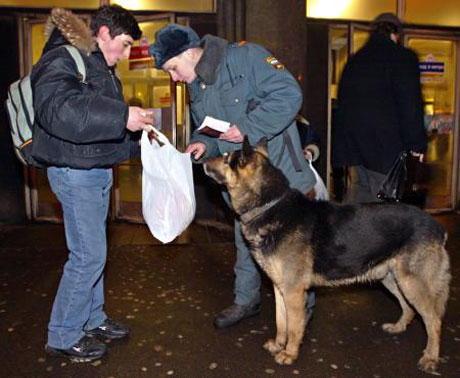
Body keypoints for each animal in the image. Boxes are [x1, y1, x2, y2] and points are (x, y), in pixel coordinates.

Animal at [204, 137, 450, 374]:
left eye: (225, 158)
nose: (203, 160)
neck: (269, 205)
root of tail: (437, 227)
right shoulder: (280, 288)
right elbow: (281, 321)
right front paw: (278, 344)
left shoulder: (293, 292)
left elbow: (294, 326)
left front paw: (289, 354)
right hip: (392, 278)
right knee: (409, 308)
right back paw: (398, 328)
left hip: (411, 283)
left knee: (434, 320)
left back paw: (430, 358)